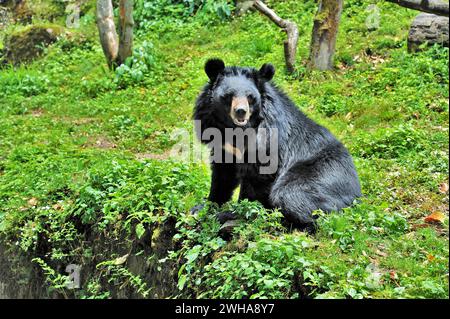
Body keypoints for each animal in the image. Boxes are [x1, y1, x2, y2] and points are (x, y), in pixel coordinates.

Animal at [194, 58, 362, 231]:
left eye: (250, 97)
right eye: (228, 96)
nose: (241, 112)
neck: (234, 130)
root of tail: (357, 191)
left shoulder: (268, 143)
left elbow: (256, 182)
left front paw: (233, 213)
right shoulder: (219, 140)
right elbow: (222, 176)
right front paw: (203, 207)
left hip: (322, 175)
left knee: (291, 196)